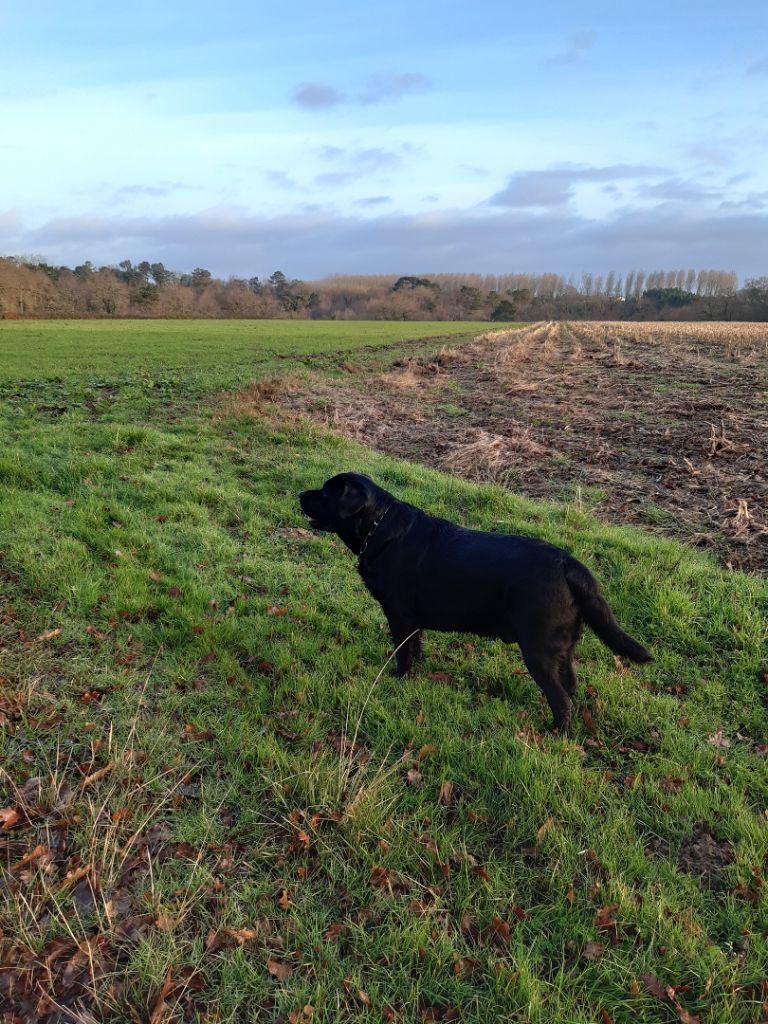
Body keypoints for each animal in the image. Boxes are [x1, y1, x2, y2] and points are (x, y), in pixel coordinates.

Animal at [296, 475, 651, 733]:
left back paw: (555, 734)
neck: (378, 528)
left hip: (537, 650)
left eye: (325, 493)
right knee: (571, 686)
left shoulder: (398, 615)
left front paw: (399, 679)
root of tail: (568, 563)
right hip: (561, 647)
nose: (300, 494)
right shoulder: (413, 621)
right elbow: (416, 647)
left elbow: (403, 653)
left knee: (562, 700)